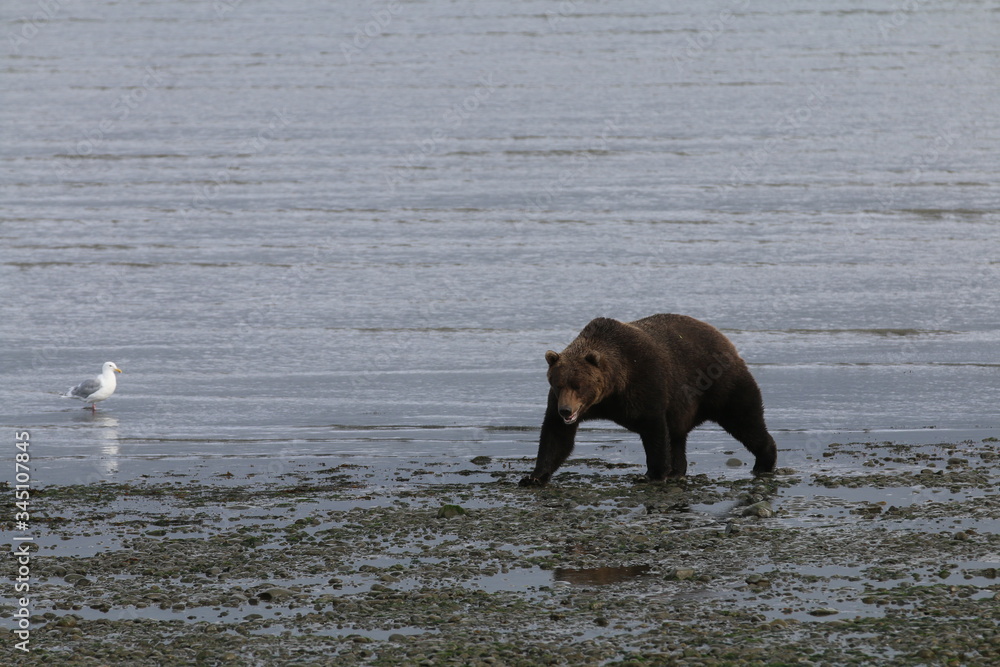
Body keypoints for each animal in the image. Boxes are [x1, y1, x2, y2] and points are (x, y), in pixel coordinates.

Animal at [519, 314, 777, 486]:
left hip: (722, 383)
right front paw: (533, 477)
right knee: (678, 437)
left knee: (744, 419)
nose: (566, 410)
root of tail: (725, 339)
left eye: (578, 385)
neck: (611, 390)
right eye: (558, 383)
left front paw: (653, 474)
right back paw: (677, 470)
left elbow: (654, 429)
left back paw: (764, 461)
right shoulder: (562, 403)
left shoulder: (645, 382)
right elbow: (556, 436)